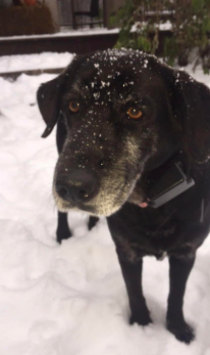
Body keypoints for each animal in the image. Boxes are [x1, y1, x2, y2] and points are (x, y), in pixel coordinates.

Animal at [37, 48, 210, 344]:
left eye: (135, 111)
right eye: (74, 105)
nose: (72, 187)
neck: (152, 205)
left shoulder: (186, 252)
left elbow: (177, 295)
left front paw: (178, 329)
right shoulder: (126, 250)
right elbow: (134, 292)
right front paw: (141, 324)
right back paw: (63, 234)